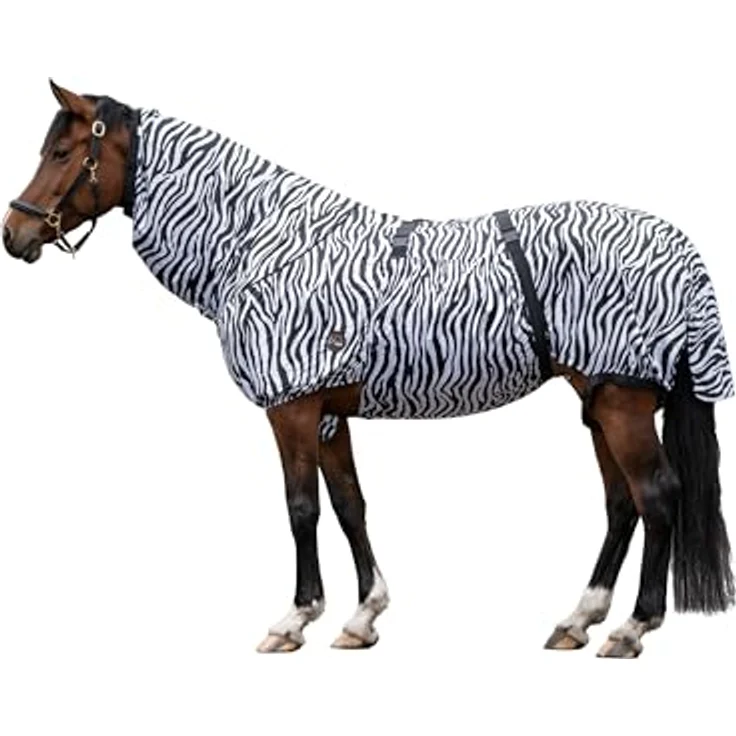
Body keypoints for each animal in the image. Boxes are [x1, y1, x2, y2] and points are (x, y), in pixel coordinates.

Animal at [4, 81, 734, 658]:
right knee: (621, 503)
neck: (264, 245)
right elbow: (350, 503)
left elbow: (301, 507)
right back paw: (578, 620)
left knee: (656, 497)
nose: (16, 235)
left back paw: (631, 629)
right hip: (602, 400)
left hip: (622, 403)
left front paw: (296, 618)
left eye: (62, 153)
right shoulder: (328, 412)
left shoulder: (291, 407)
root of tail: (682, 248)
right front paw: (363, 616)